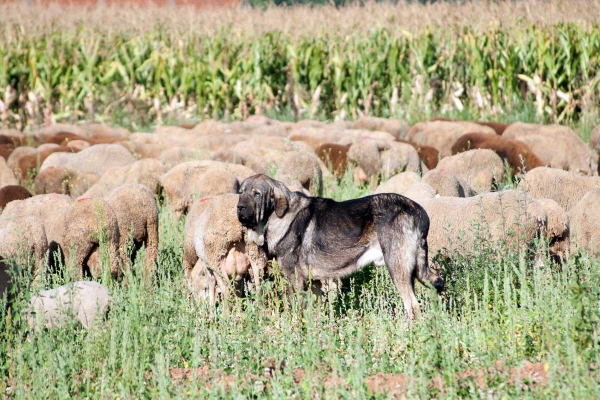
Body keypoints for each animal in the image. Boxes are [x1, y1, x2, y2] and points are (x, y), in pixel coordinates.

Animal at [237, 174, 442, 318]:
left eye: (257, 194)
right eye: (241, 193)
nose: (239, 208)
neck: (278, 216)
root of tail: (418, 212)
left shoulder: (297, 280)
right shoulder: (315, 283)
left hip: (397, 268)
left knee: (412, 307)